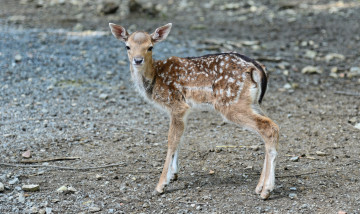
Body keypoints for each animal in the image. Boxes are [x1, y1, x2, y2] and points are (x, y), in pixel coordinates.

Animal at [108, 22, 280, 199]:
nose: (137, 60)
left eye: (150, 47)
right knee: (269, 127)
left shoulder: (176, 105)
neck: (154, 80)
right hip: (252, 103)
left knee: (269, 127)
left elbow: (171, 140)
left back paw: (266, 190)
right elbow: (179, 139)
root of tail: (257, 68)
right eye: (127, 46)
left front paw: (160, 185)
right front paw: (173, 175)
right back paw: (260, 187)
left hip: (231, 103)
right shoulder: (183, 110)